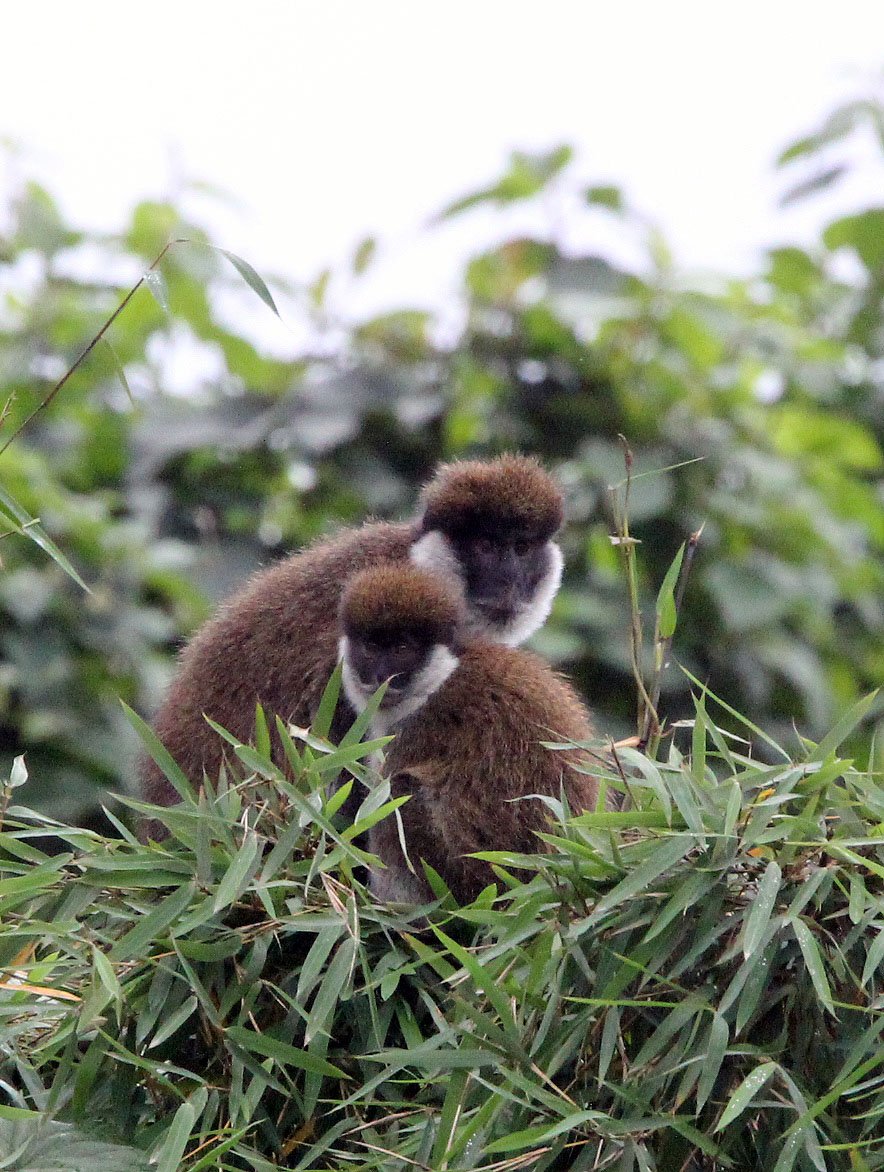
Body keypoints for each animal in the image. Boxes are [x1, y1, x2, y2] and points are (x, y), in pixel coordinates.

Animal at [338, 562, 603, 905]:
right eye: (371, 647)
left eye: (402, 649)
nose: (382, 677)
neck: (438, 679)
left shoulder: (416, 728)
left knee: (399, 790)